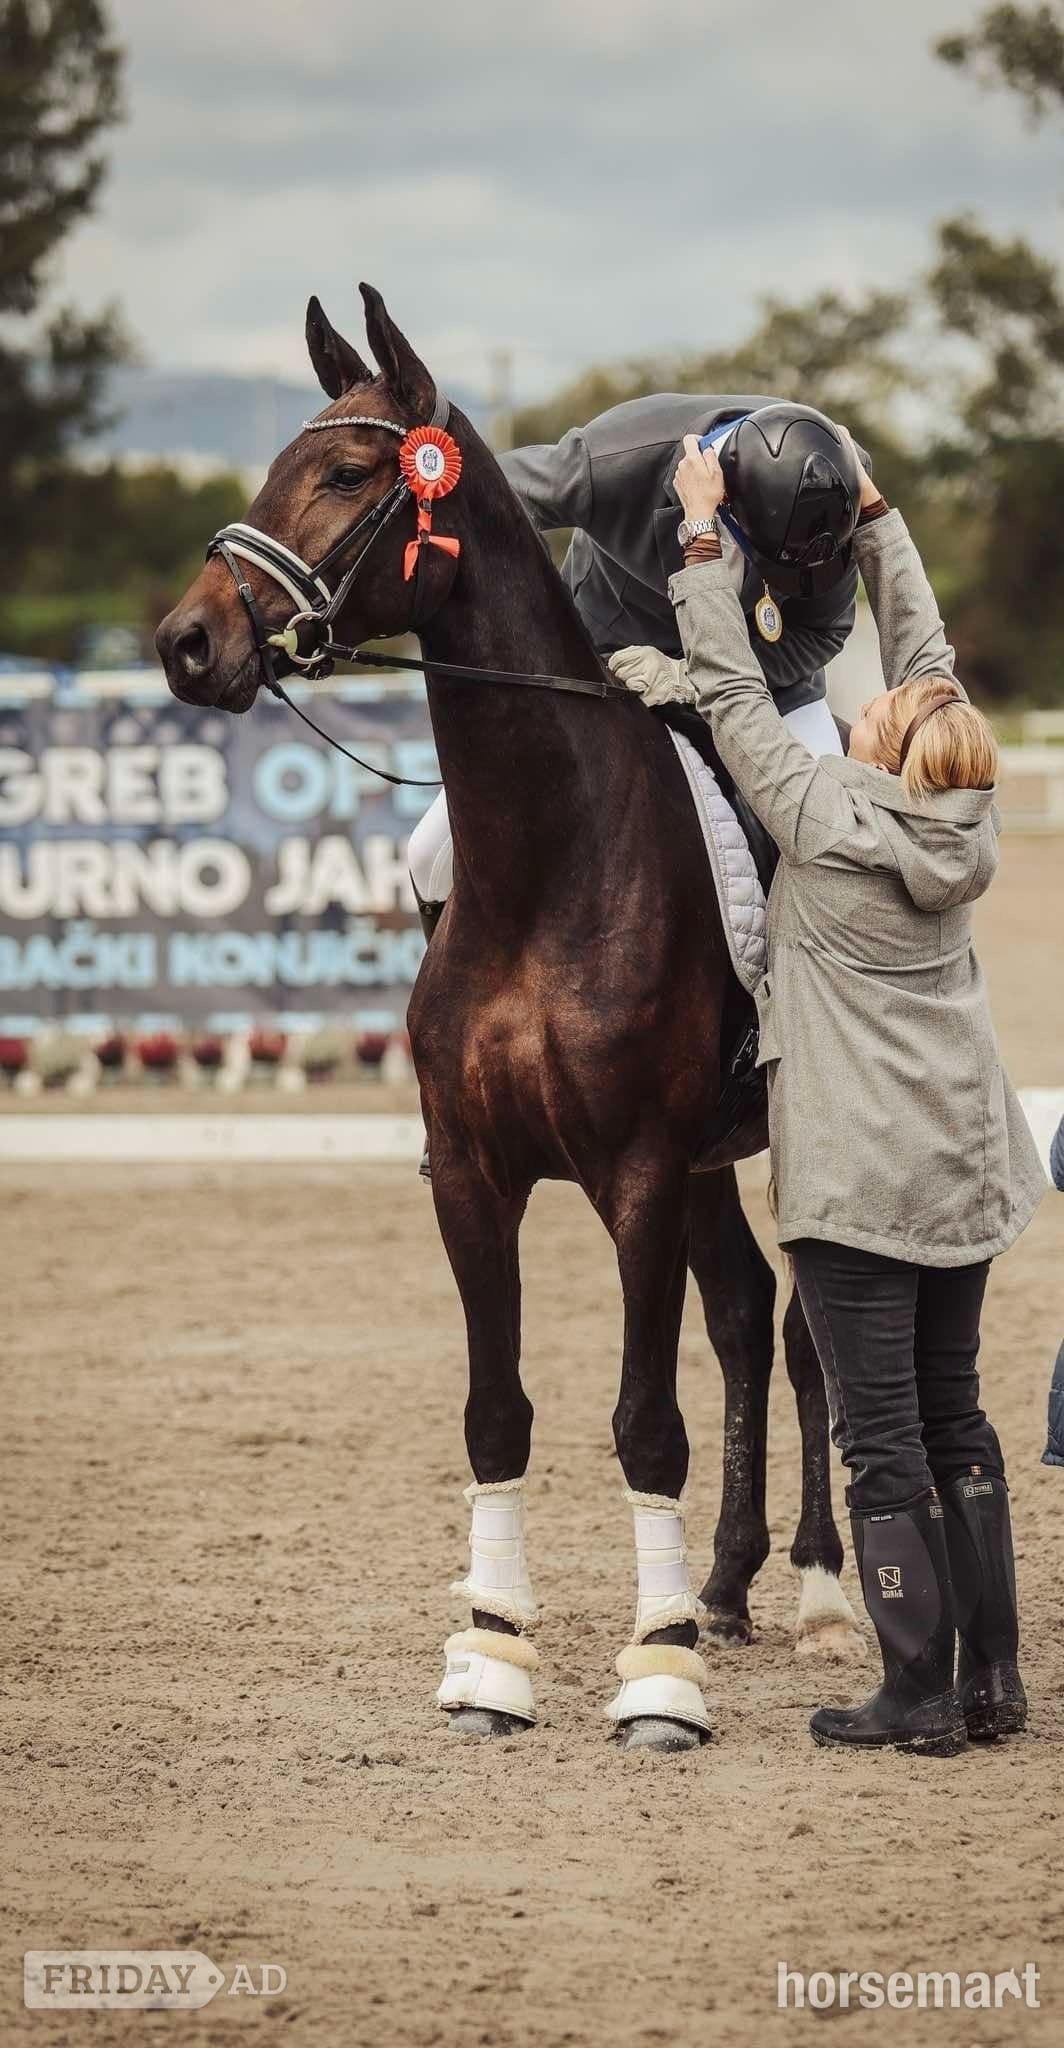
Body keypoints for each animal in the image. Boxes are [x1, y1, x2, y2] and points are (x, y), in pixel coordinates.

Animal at [156, 283, 863, 1750]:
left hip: (772, 1140)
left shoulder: (635, 1173)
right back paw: (724, 1582)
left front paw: (658, 1677)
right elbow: (497, 1412)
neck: (550, 861)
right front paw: (491, 1658)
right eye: (279, 464)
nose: (188, 645)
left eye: (350, 474)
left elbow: (645, 1420)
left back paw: (821, 1595)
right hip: (709, 1163)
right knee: (743, 1313)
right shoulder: (472, 1175)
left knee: (798, 1334)